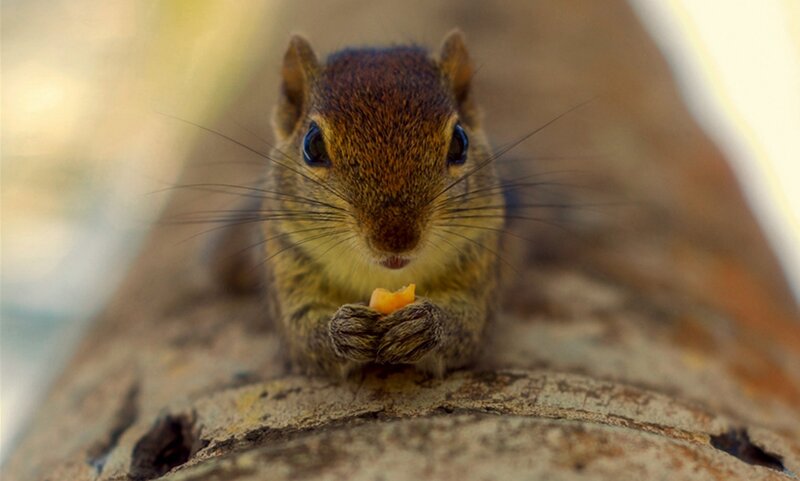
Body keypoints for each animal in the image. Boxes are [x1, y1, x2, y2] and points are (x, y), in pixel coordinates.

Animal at [212, 30, 505, 377]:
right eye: (312, 145)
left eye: (460, 141)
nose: (395, 240)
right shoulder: (287, 262)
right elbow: (301, 334)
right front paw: (343, 330)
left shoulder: (478, 259)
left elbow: (470, 329)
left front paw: (425, 325)